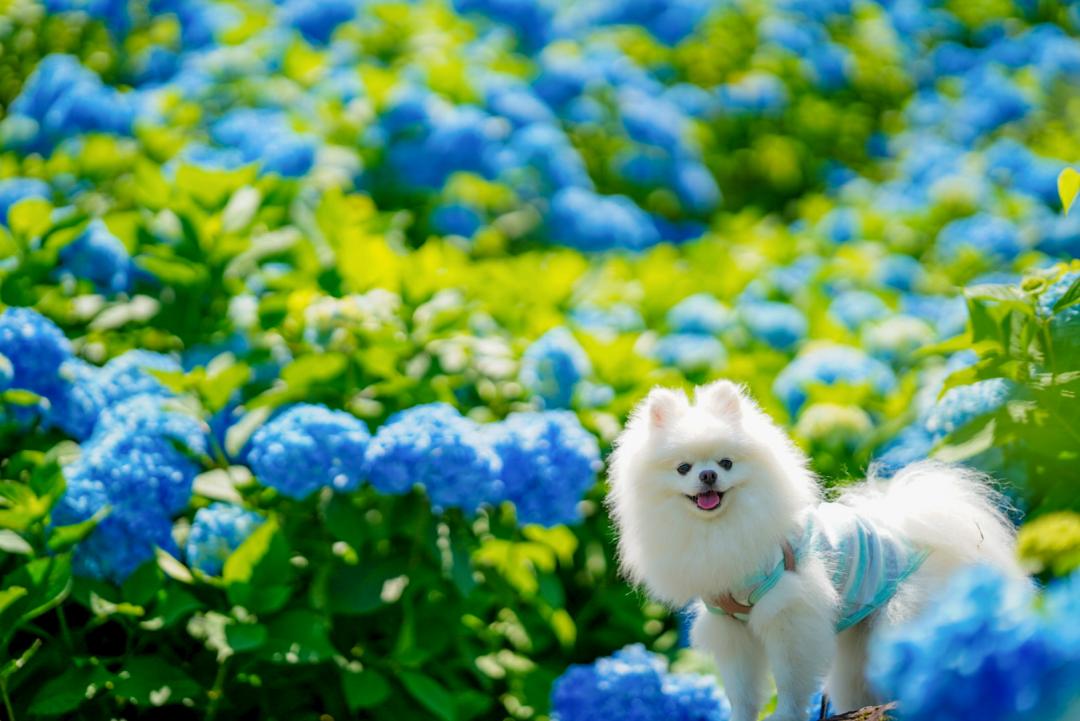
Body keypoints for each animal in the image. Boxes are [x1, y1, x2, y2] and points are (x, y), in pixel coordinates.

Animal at [609, 379, 1019, 716]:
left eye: (726, 462)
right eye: (683, 468)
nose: (708, 475)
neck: (721, 528)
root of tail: (909, 531)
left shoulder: (790, 614)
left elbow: (790, 684)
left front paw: (787, 715)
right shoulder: (731, 627)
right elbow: (742, 692)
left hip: (898, 619)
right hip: (861, 640)